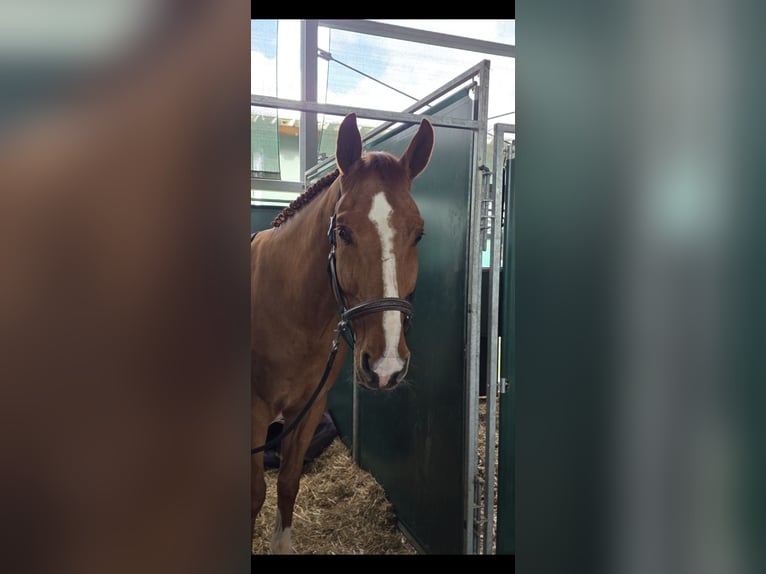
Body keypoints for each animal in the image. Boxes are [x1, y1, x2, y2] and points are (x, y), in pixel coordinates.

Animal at [251, 112, 434, 554]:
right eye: (344, 232)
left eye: (418, 234)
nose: (386, 365)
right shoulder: (252, 411)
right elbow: (254, 494)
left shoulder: (307, 410)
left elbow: (287, 484)